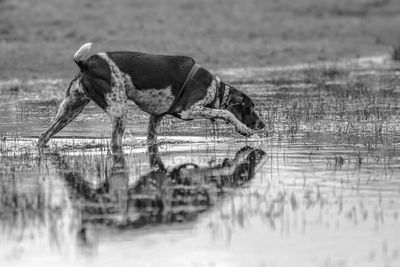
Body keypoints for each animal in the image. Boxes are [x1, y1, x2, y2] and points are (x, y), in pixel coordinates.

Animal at [37, 43, 268, 150]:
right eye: (251, 108)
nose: (263, 124)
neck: (216, 88)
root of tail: (85, 63)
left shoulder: (155, 117)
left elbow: (152, 141)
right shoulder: (188, 110)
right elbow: (226, 114)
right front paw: (244, 129)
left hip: (70, 110)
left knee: (43, 137)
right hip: (119, 111)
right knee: (115, 143)